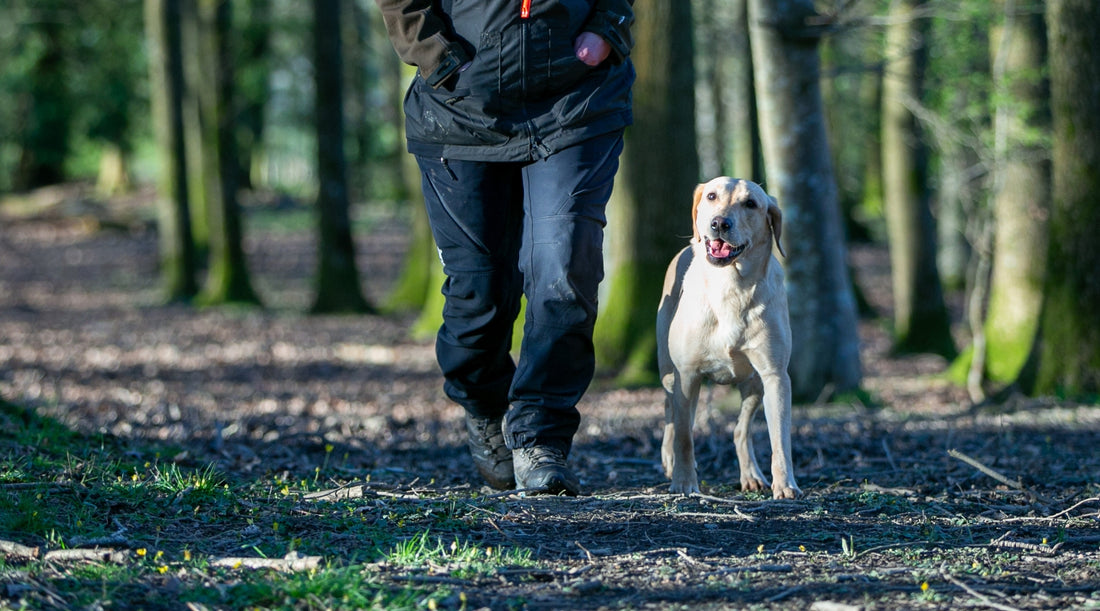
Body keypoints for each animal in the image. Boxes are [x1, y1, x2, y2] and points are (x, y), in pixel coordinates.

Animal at [651, 178, 800, 502]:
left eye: (750, 204)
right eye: (711, 196)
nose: (719, 223)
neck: (731, 287)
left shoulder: (775, 376)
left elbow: (780, 439)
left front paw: (785, 484)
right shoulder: (687, 374)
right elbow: (684, 436)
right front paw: (684, 481)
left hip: (754, 384)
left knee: (740, 430)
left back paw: (751, 475)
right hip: (669, 372)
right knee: (672, 413)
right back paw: (670, 459)